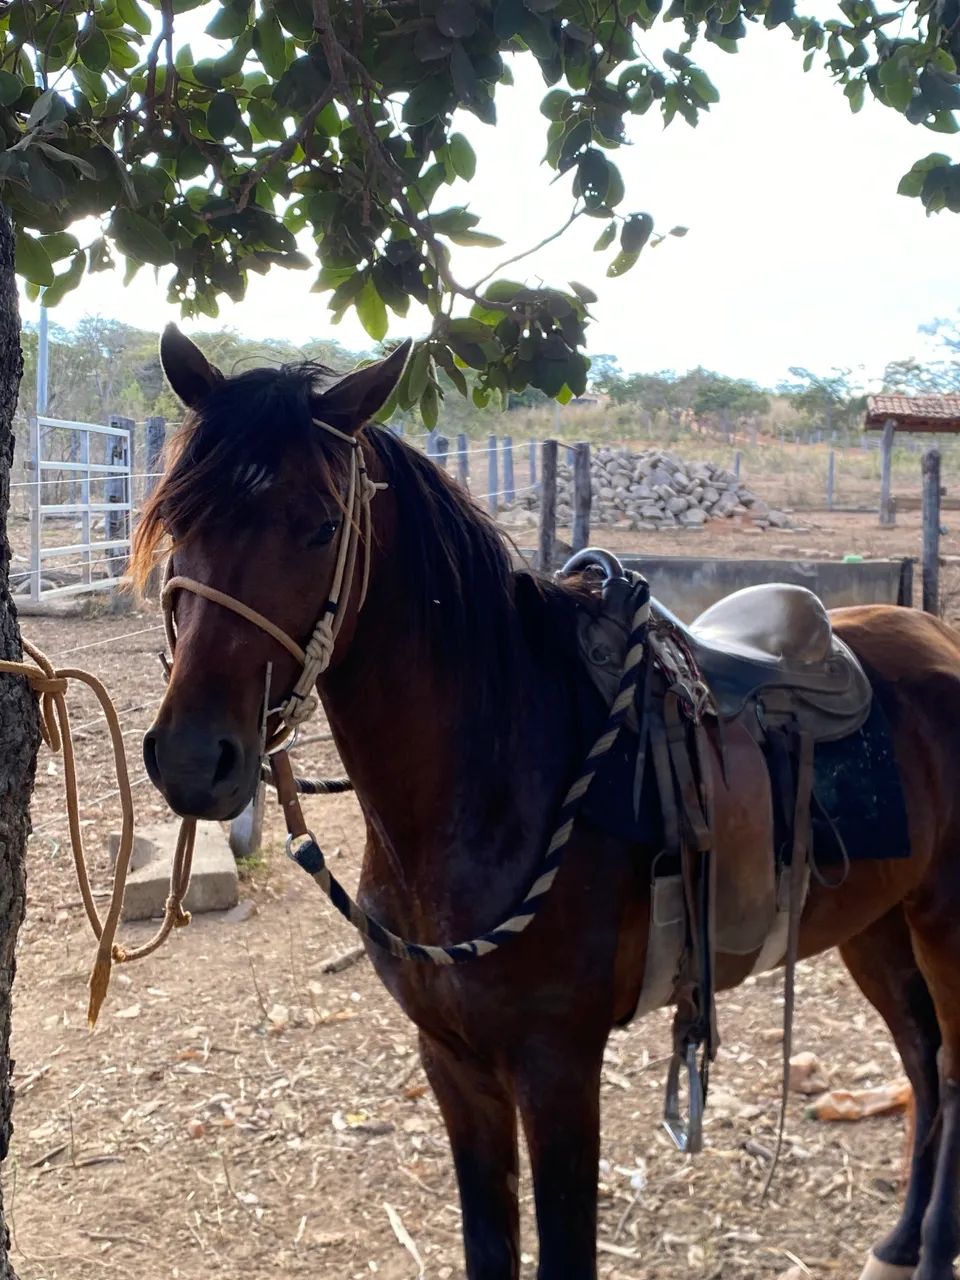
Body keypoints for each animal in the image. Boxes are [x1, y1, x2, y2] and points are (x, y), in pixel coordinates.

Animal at [135, 326, 960, 1280]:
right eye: (176, 519)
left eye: (322, 527)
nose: (193, 758)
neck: (489, 788)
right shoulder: (453, 1060)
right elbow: (488, 1244)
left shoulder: (558, 1068)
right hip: (878, 924)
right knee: (923, 1059)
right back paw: (900, 1241)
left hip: (941, 925)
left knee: (954, 1074)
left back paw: (930, 1251)